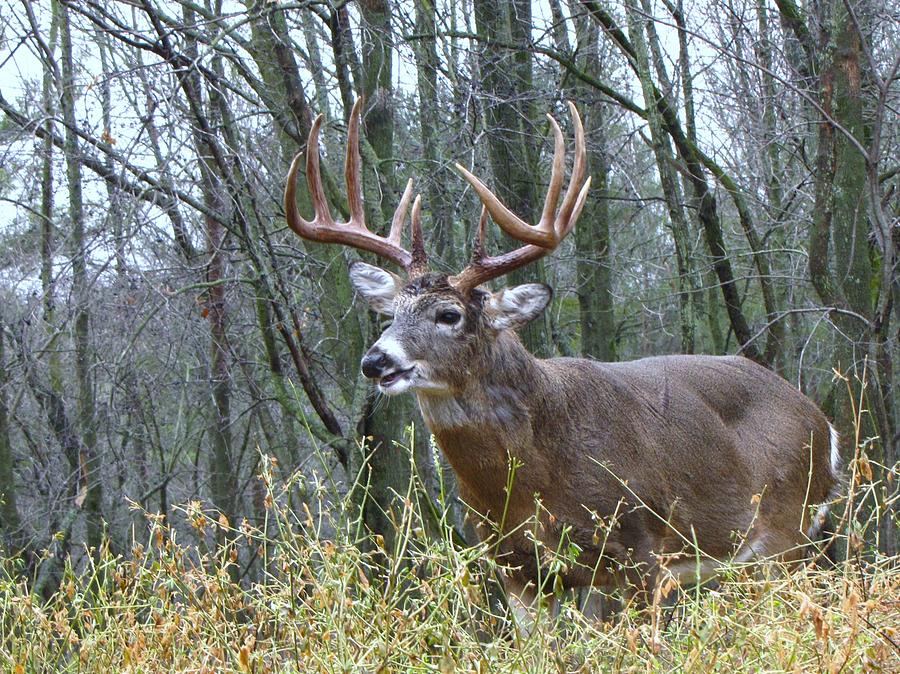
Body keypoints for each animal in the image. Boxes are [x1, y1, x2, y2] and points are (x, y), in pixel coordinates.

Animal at [284, 98, 840, 608]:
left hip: (784, 534)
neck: (533, 480)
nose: (375, 361)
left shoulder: (640, 551)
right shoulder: (516, 570)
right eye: (391, 313)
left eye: (449, 314)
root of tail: (823, 422)